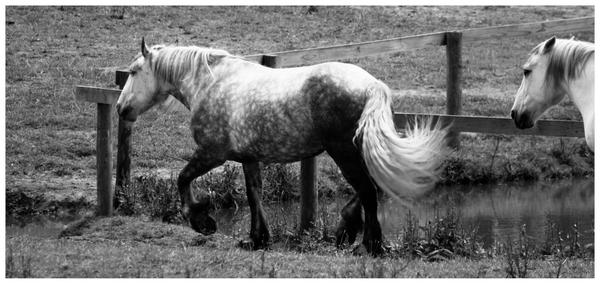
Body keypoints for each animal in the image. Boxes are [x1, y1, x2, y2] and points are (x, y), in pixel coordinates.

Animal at [115, 38, 448, 255]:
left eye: (133, 72)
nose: (120, 108)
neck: (211, 84)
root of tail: (372, 85)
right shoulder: (249, 159)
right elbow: (254, 195)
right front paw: (257, 239)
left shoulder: (212, 153)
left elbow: (183, 179)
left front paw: (203, 221)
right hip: (356, 150)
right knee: (372, 187)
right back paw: (347, 230)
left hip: (343, 151)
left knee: (367, 189)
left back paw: (370, 244)